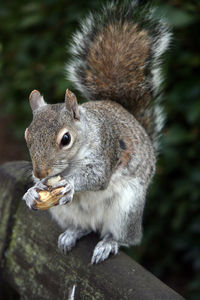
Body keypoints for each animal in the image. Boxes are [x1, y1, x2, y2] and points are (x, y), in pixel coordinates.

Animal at [23, 1, 170, 264]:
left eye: (66, 139)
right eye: (27, 135)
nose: (40, 172)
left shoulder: (106, 150)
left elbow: (97, 177)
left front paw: (70, 184)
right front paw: (31, 191)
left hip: (126, 211)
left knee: (123, 237)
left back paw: (108, 243)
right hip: (65, 213)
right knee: (84, 227)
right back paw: (72, 233)